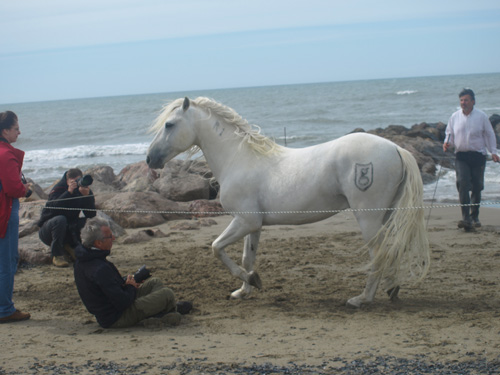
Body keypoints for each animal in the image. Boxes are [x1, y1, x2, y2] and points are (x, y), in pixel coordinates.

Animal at [146, 97, 430, 308]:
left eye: (169, 124)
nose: (150, 159)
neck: (238, 159)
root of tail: (395, 148)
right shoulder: (253, 225)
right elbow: (247, 258)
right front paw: (244, 290)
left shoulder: (245, 221)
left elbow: (216, 248)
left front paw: (252, 282)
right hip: (385, 214)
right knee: (390, 249)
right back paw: (392, 289)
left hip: (368, 216)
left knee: (378, 253)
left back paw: (362, 299)